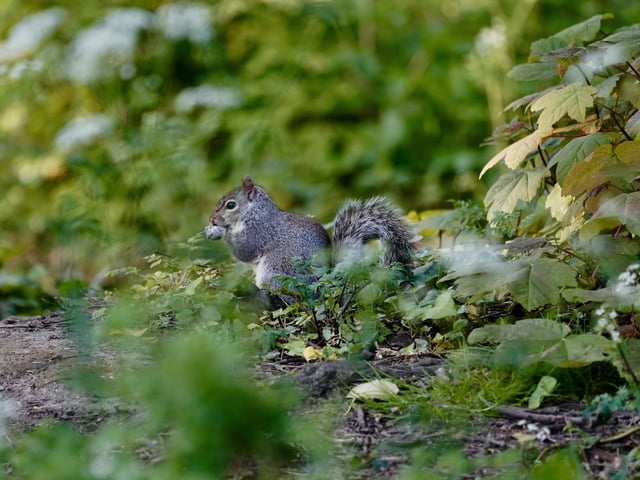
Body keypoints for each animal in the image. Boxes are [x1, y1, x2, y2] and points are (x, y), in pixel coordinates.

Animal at [204, 176, 413, 301]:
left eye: (231, 205)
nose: (211, 219)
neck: (254, 212)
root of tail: (323, 284)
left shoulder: (260, 231)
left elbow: (244, 250)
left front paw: (219, 232)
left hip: (276, 269)